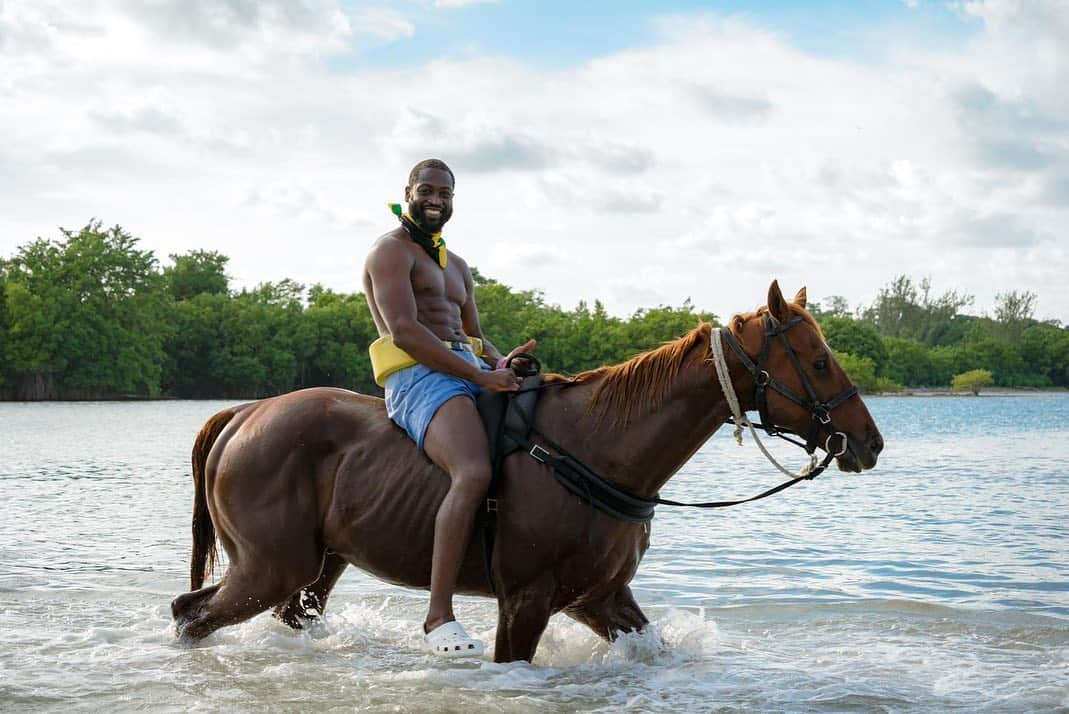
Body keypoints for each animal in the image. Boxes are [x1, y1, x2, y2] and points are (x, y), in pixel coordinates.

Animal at [171, 282, 880, 662]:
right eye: (818, 361)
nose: (869, 442)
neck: (597, 448)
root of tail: (244, 413)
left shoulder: (600, 597)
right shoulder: (527, 602)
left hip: (319, 565)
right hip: (270, 566)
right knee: (190, 613)